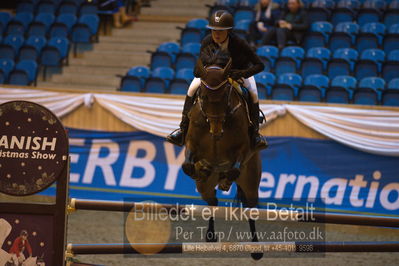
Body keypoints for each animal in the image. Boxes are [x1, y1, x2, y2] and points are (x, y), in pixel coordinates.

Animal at [183, 53, 264, 260]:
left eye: (225, 96)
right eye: (203, 96)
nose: (216, 130)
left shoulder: (243, 149)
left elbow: (235, 167)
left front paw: (227, 180)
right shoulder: (192, 144)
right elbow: (187, 165)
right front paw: (200, 169)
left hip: (251, 182)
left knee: (250, 208)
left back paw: (256, 248)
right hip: (204, 188)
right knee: (212, 201)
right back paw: (210, 235)